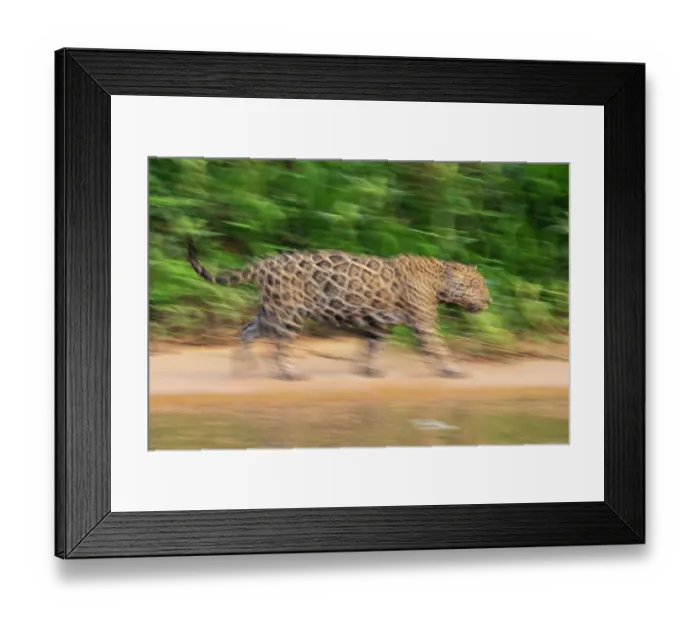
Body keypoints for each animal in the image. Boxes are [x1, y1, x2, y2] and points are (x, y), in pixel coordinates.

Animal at [187, 241, 492, 380]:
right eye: (476, 285)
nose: (489, 301)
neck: (438, 282)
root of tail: (264, 263)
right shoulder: (424, 322)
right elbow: (438, 346)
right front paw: (452, 369)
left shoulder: (379, 323)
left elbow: (374, 346)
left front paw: (370, 370)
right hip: (288, 313)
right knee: (280, 345)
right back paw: (289, 373)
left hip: (271, 309)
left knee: (247, 330)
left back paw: (243, 367)